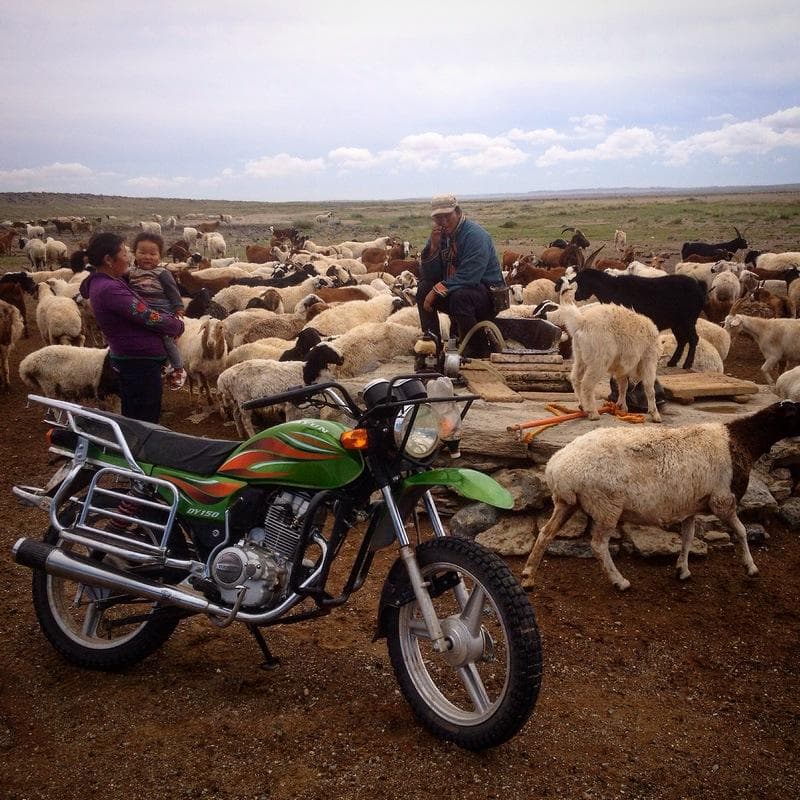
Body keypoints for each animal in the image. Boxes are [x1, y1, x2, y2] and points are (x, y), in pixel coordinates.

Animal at [520, 398, 800, 592]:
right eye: (795, 412)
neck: (741, 440)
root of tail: (557, 468)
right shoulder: (723, 500)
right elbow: (741, 532)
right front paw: (751, 568)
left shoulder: (691, 504)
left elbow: (688, 537)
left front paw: (682, 570)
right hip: (606, 505)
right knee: (598, 545)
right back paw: (620, 582)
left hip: (566, 502)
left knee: (545, 533)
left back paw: (528, 577)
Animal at [568, 268, 708, 368]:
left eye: (582, 282)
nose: (576, 296)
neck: (612, 289)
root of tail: (699, 288)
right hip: (677, 323)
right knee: (682, 340)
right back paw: (672, 362)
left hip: (688, 320)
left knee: (693, 339)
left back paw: (687, 364)